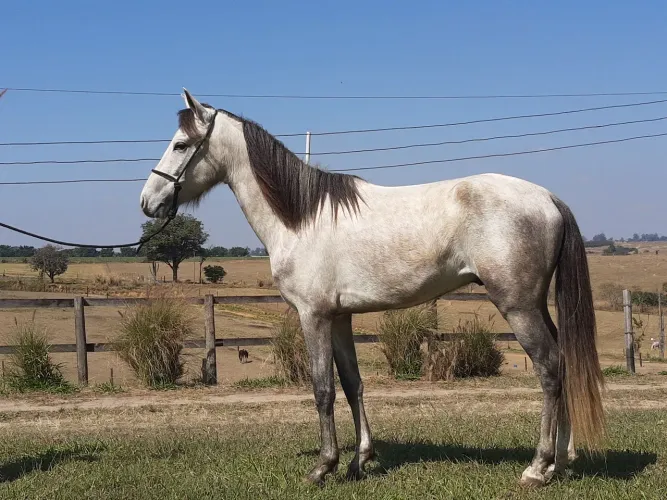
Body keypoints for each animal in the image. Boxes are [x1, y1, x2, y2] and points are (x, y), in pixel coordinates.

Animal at [139, 89, 606, 488]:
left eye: (181, 145)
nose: (148, 202)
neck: (301, 218)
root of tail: (548, 198)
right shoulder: (340, 317)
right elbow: (353, 384)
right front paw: (359, 460)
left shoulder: (314, 316)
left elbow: (322, 388)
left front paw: (324, 466)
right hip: (536, 305)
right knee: (564, 361)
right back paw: (563, 460)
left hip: (518, 308)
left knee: (550, 368)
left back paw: (538, 467)